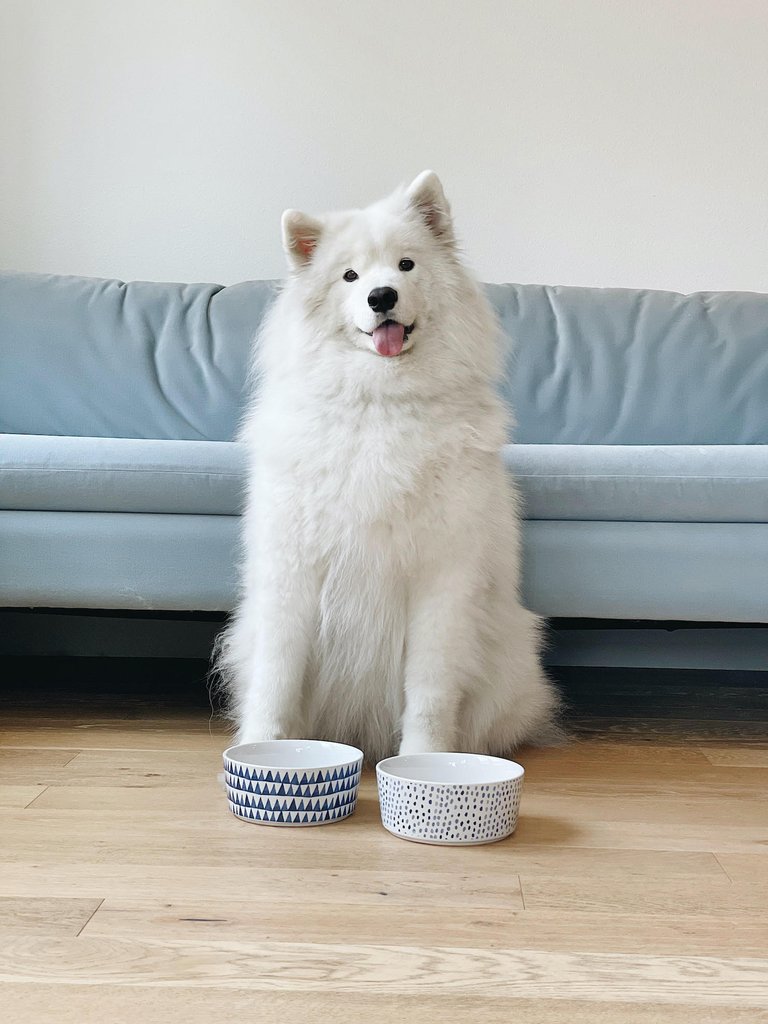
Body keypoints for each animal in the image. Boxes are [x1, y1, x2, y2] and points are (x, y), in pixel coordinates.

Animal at [217, 169, 561, 761]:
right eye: (350, 276)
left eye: (406, 264)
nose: (382, 296)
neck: (379, 402)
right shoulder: (291, 571)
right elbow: (276, 679)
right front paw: (261, 747)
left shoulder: (442, 580)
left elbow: (429, 691)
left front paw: (426, 760)